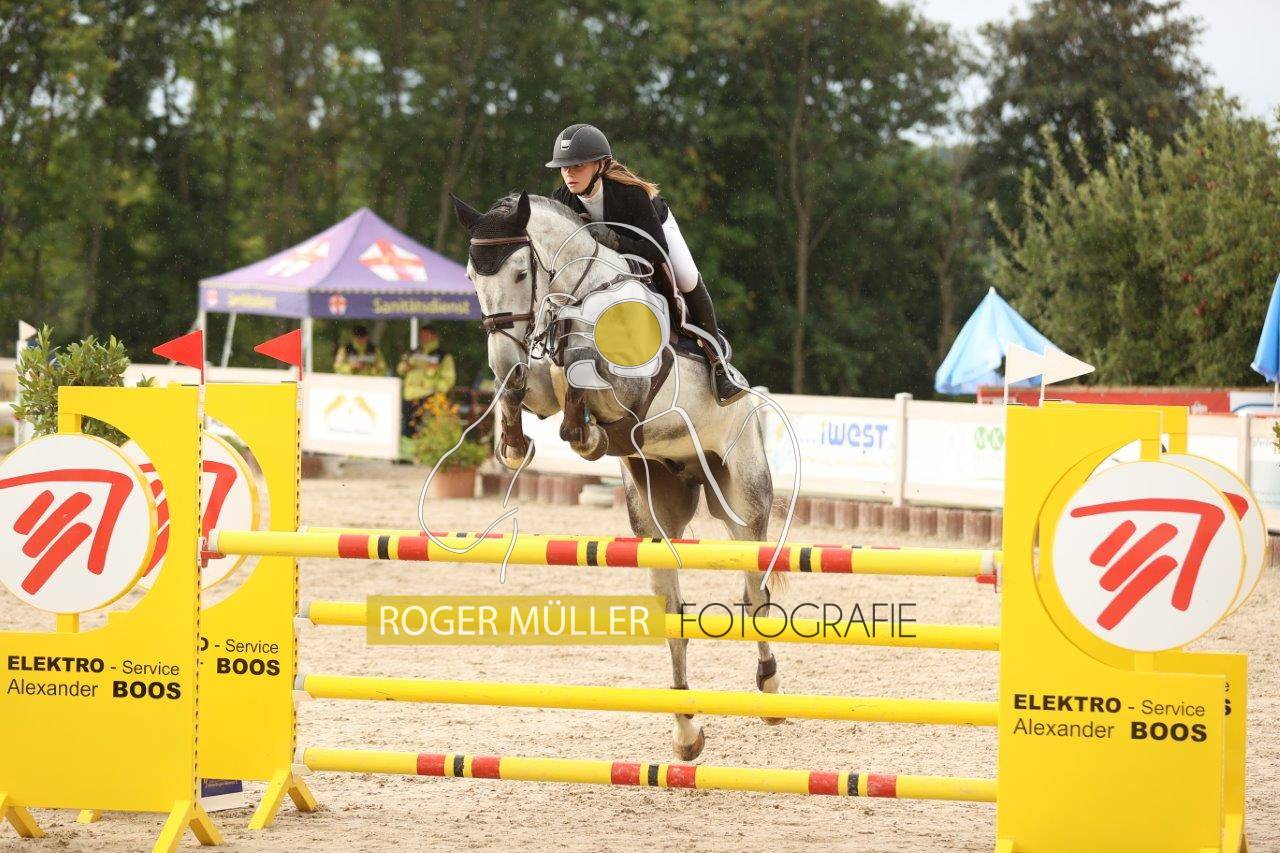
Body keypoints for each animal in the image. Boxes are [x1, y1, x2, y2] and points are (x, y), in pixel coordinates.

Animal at [451, 191, 782, 760]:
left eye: (520, 272)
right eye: (473, 275)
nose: (499, 352)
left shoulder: (629, 388)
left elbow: (583, 376)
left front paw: (582, 428)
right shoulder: (539, 383)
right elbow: (526, 386)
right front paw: (514, 443)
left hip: (743, 502)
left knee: (755, 589)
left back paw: (771, 688)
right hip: (654, 516)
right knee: (675, 616)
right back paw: (686, 732)